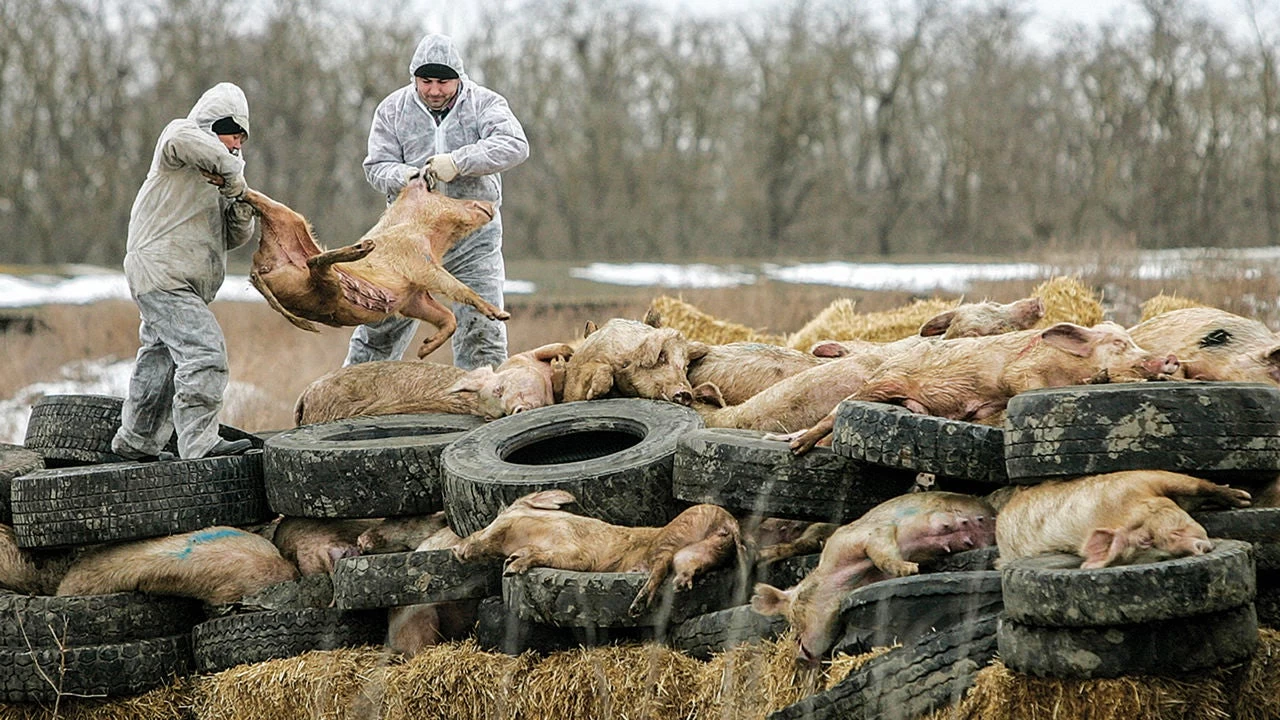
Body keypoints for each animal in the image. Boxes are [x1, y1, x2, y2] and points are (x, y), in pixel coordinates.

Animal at [239, 169, 504, 358]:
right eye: (444, 195)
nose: (490, 205)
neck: (430, 236)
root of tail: (258, 267)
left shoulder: (413, 298)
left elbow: (448, 317)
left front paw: (422, 351)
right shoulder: (418, 261)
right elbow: (457, 287)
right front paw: (501, 315)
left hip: (292, 222)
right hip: (323, 288)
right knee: (316, 263)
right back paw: (362, 248)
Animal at [455, 486, 747, 609]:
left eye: (498, 517)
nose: (456, 549)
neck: (536, 533)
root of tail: (728, 521)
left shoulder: (576, 551)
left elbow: (548, 554)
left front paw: (511, 567)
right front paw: (511, 561)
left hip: (675, 533)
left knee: (660, 566)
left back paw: (637, 604)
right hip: (698, 552)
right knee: (681, 569)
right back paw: (677, 586)